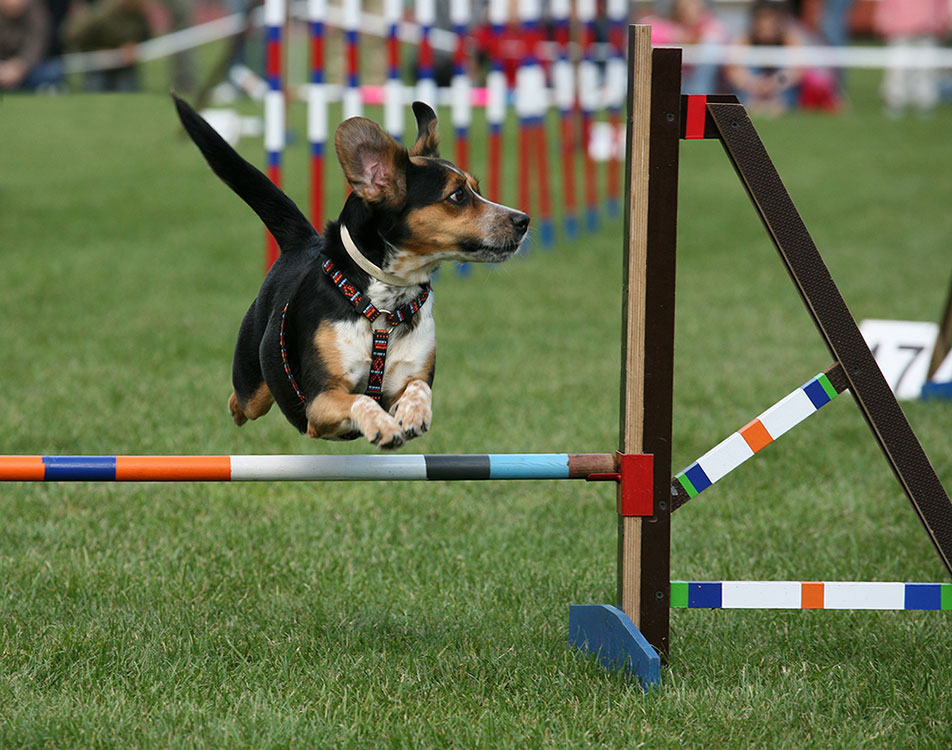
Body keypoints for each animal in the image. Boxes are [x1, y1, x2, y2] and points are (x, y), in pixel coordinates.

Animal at [175, 98, 532, 452]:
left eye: (477, 189)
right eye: (457, 195)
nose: (523, 220)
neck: (386, 304)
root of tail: (303, 242)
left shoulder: (408, 378)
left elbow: (419, 390)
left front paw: (414, 414)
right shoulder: (320, 403)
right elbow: (361, 402)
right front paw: (382, 426)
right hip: (254, 387)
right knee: (239, 401)